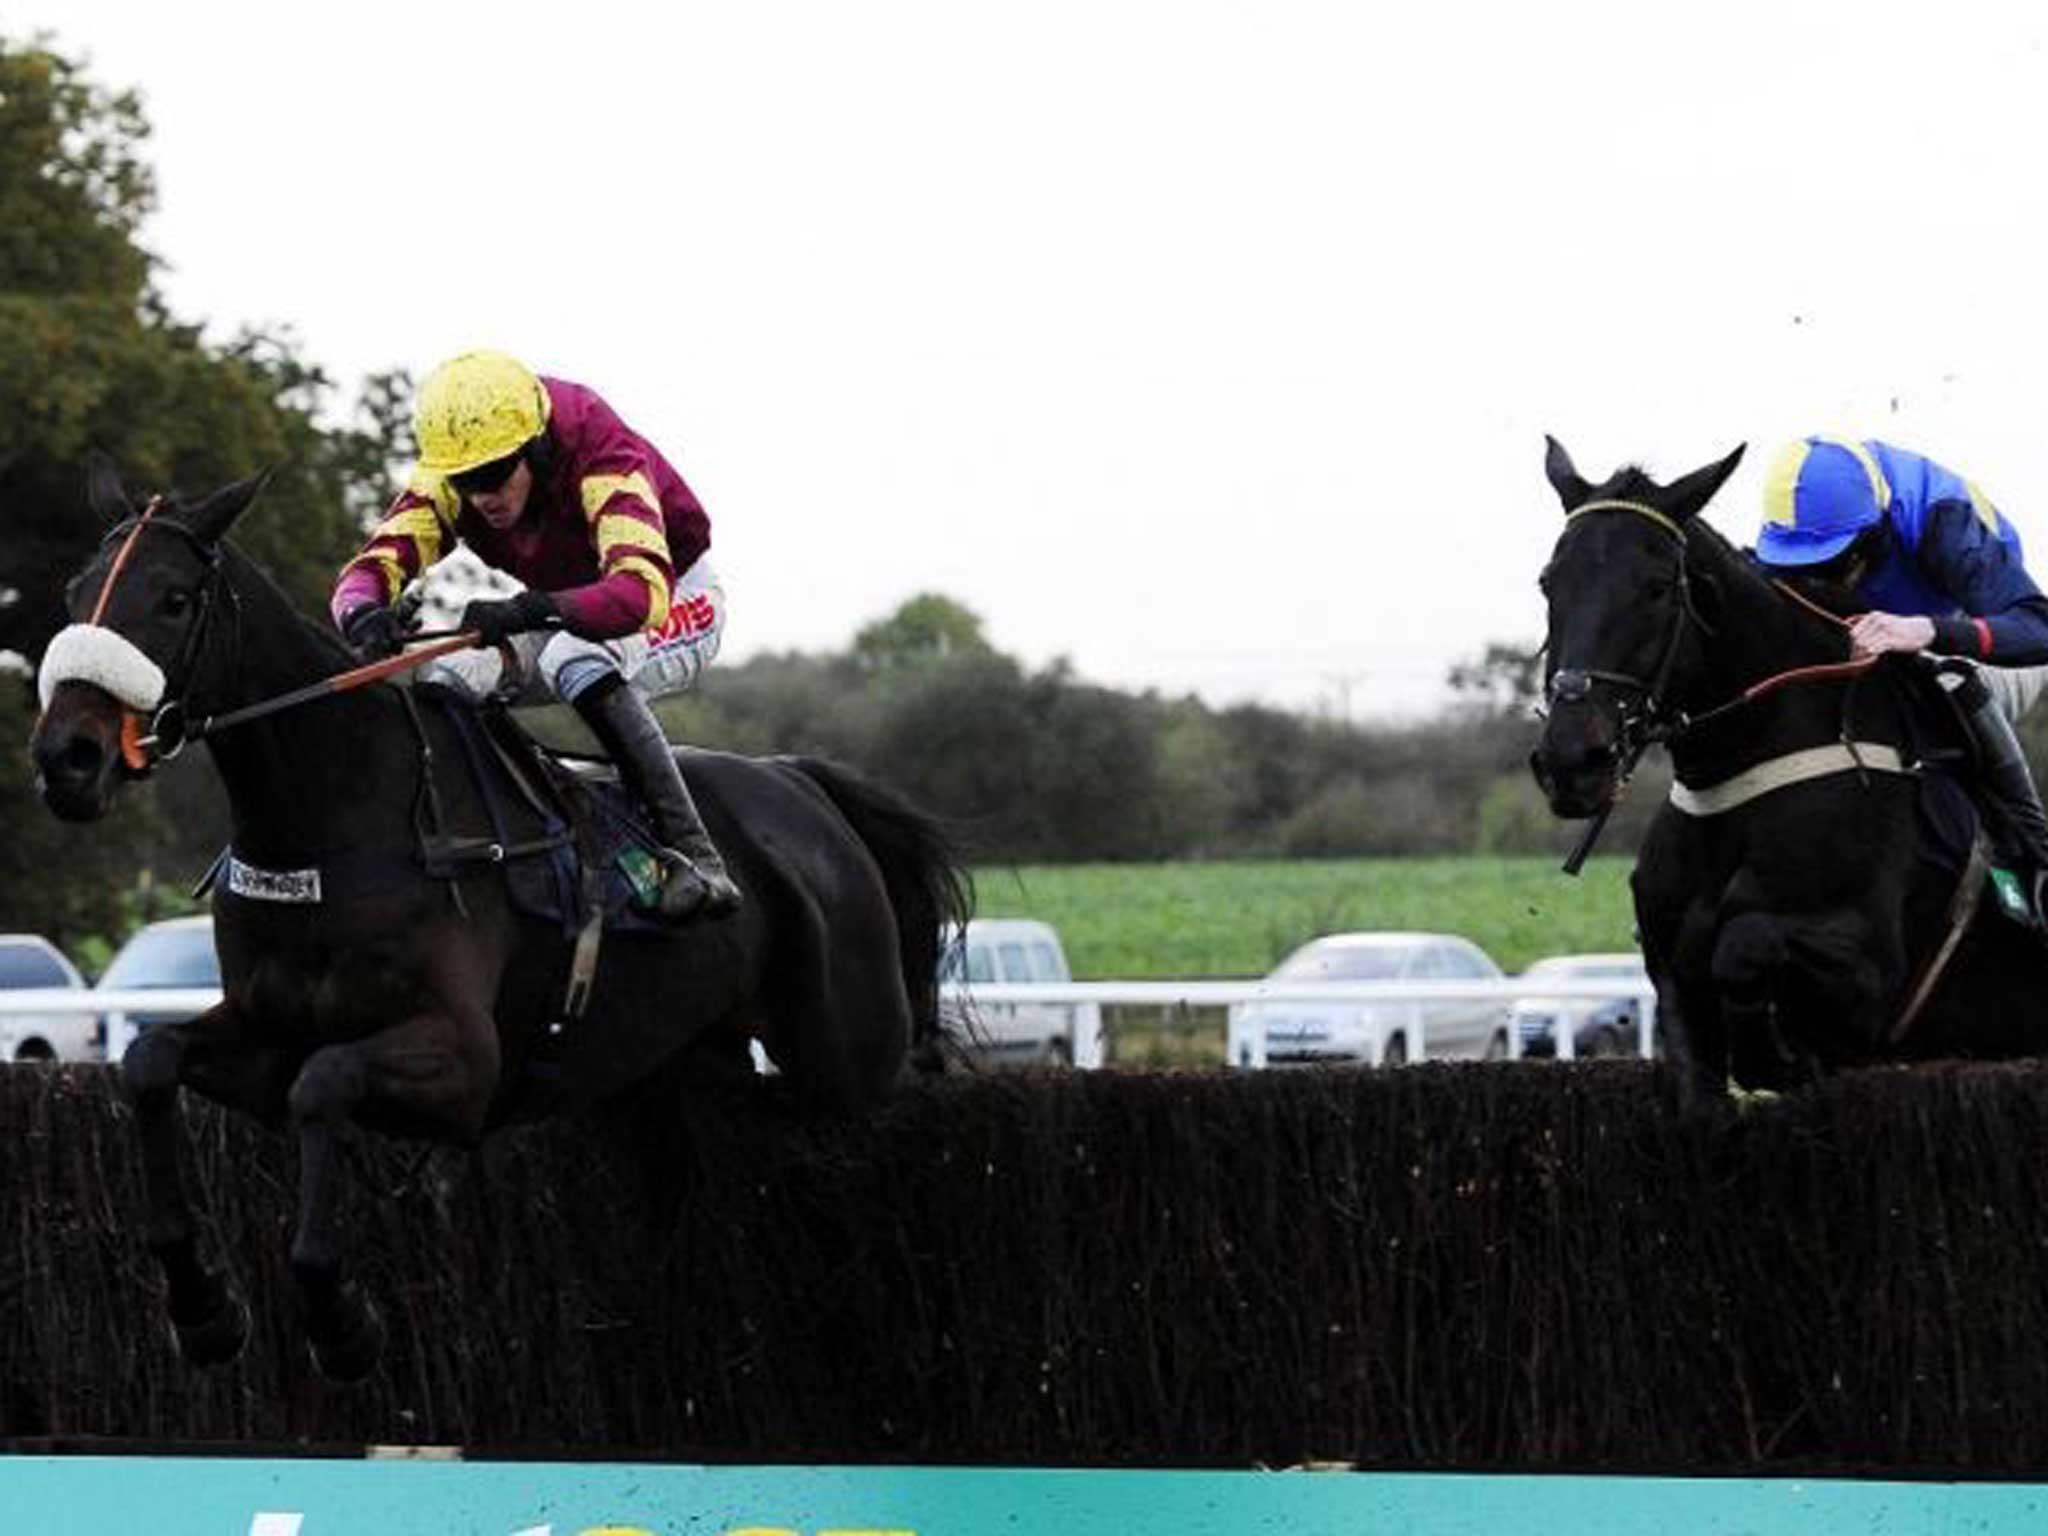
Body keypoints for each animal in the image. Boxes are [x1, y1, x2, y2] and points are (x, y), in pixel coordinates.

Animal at [24, 468, 966, 1384]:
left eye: (174, 598)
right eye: (74, 594)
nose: (66, 757)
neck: (339, 816)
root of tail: (803, 786)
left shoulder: (467, 1063)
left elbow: (323, 1084)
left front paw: (342, 1324)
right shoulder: (264, 1031)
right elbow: (151, 1062)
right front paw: (203, 1310)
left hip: (849, 1055)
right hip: (690, 1063)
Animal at [1531, 444, 2048, 1105]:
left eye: (1655, 588)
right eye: (1549, 582)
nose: (1572, 760)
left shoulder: (1874, 979)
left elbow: (1746, 945)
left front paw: (1779, 1057)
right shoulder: (1674, 985)